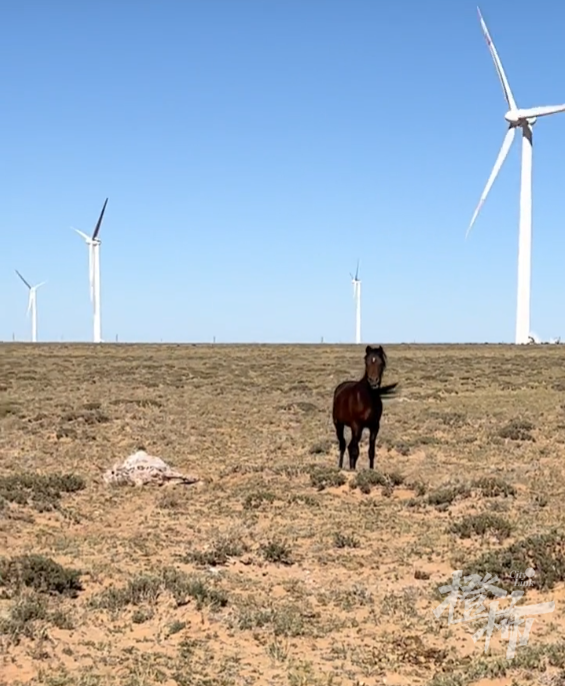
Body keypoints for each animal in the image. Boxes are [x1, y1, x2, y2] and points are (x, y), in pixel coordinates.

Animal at [330, 344, 396, 472]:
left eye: (381, 362)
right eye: (367, 362)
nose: (373, 381)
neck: (367, 398)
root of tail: (339, 387)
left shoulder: (374, 427)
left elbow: (371, 451)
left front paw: (370, 470)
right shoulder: (357, 426)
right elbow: (354, 450)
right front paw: (352, 470)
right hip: (339, 424)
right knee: (344, 445)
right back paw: (340, 467)